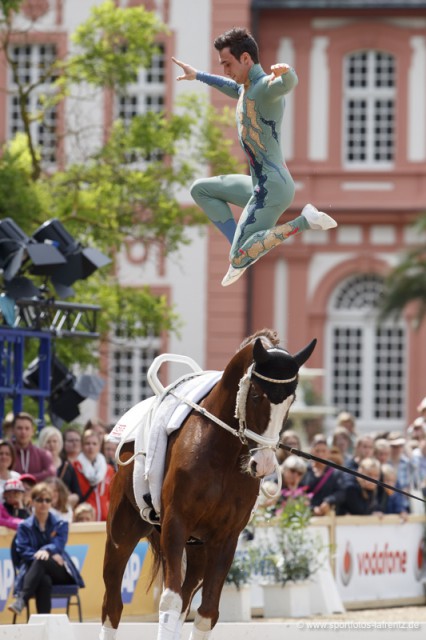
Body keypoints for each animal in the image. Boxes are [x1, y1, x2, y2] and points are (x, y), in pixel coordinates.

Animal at [100, 330, 316, 640]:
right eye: (256, 395)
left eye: (291, 400)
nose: (263, 464)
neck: (223, 451)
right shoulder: (175, 524)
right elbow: (169, 600)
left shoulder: (226, 537)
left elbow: (206, 613)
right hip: (123, 533)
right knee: (114, 604)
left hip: (198, 547)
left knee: (187, 598)